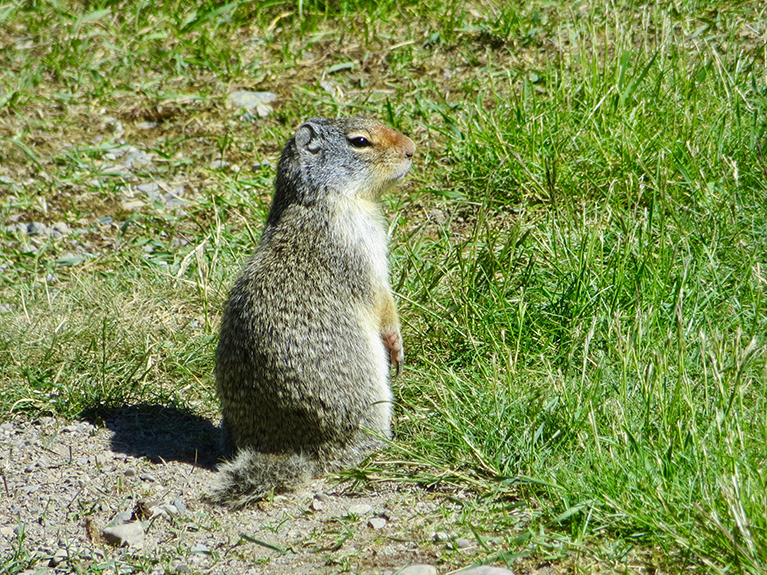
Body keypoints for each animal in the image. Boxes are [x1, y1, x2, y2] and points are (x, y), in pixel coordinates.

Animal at [207, 117, 416, 508]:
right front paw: (396, 345)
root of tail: (301, 451)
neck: (325, 198)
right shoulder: (361, 250)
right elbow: (382, 302)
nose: (412, 149)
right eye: (360, 141)